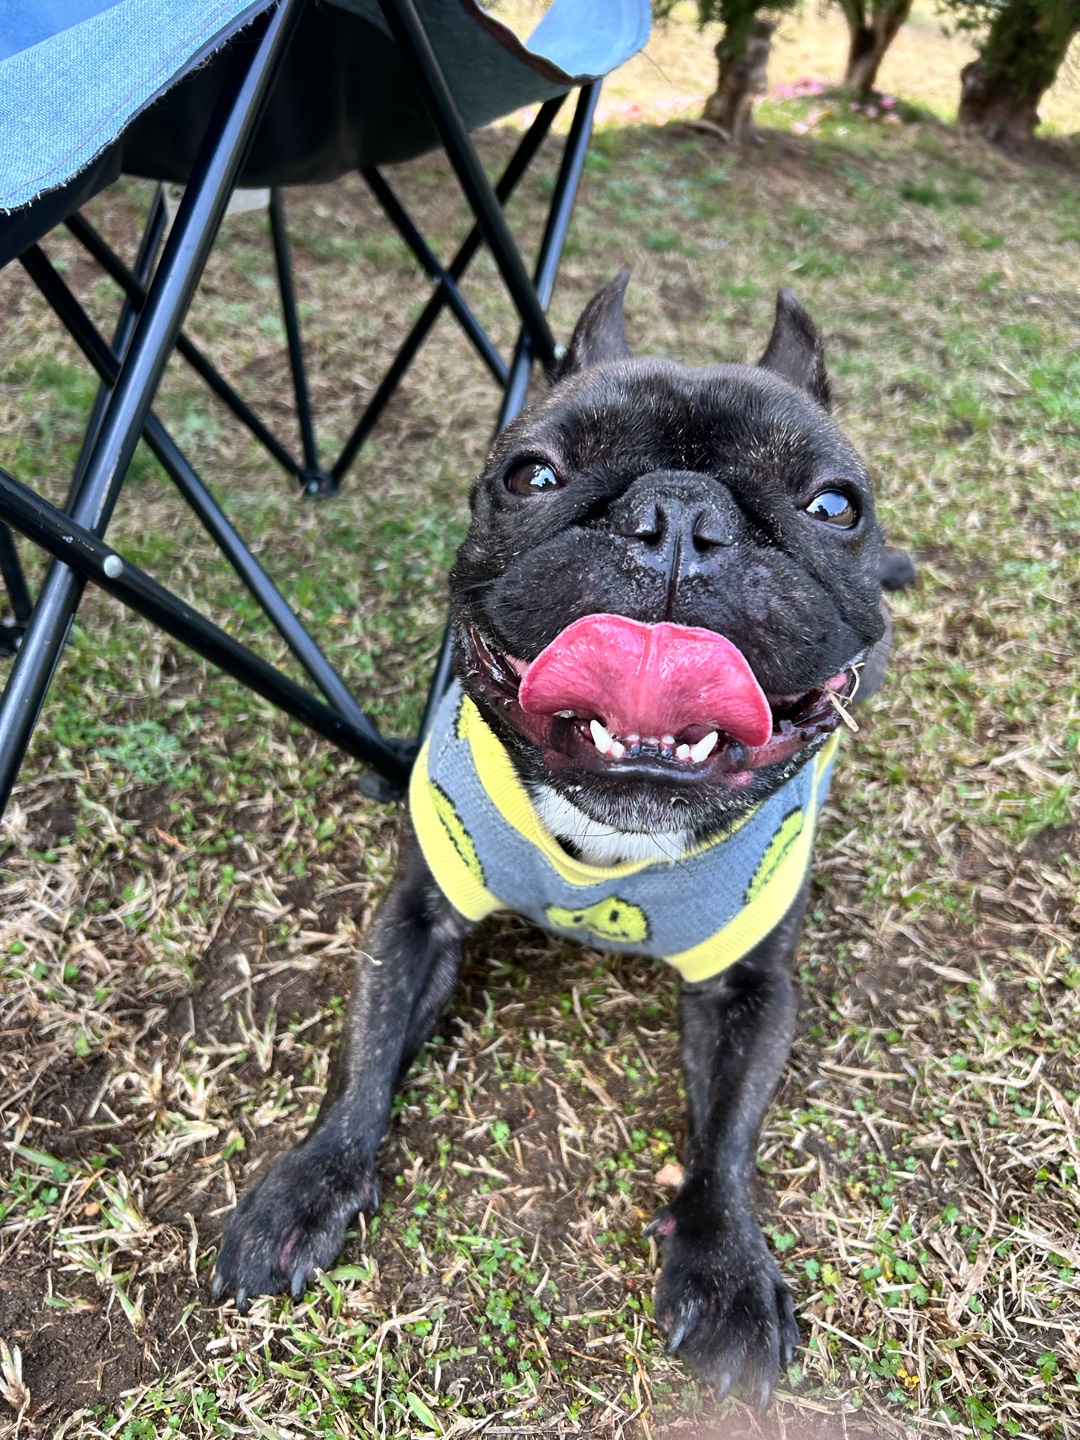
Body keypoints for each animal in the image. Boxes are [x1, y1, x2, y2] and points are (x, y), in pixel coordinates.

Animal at [213, 274, 908, 1405]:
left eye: (834, 505)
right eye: (530, 474)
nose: (680, 516)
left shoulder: (753, 989)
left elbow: (729, 1137)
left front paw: (728, 1264)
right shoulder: (416, 919)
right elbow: (362, 1058)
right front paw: (309, 1185)